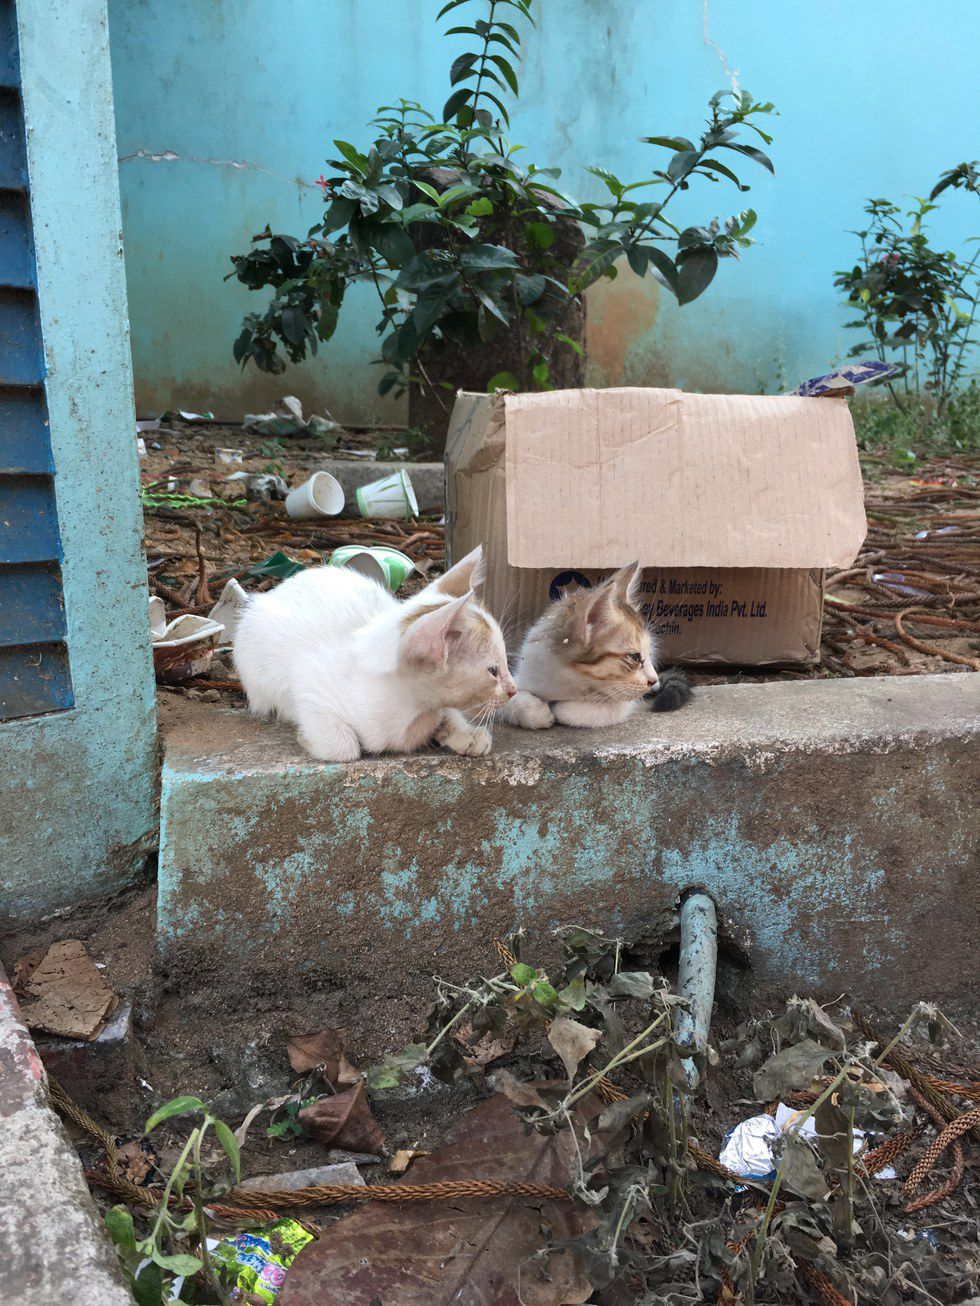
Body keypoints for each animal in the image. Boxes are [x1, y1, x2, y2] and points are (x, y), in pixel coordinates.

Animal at [233, 545, 516, 762]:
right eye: (493, 671)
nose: (513, 690)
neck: (412, 714)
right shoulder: (309, 682)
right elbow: (343, 748)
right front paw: (308, 739)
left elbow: (448, 713)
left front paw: (466, 733)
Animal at [502, 562, 691, 730]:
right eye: (634, 657)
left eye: (647, 654)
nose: (653, 680)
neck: (570, 679)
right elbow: (508, 696)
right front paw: (535, 712)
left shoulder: (622, 701)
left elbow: (598, 709)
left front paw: (560, 709)